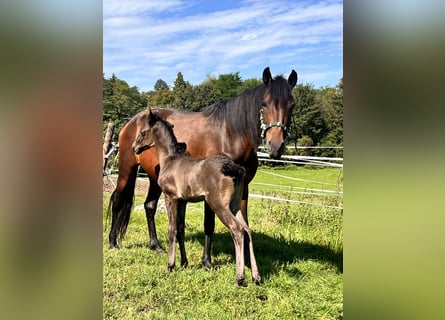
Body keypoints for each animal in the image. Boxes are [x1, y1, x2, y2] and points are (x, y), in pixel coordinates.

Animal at [134, 107, 262, 284]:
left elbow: (172, 229)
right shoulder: (182, 201)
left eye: (143, 132)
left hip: (219, 205)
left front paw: (170, 265)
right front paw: (183, 263)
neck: (170, 160)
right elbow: (180, 228)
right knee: (247, 230)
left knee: (237, 229)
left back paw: (240, 277)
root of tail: (234, 167)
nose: (134, 148)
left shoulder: (170, 197)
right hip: (235, 205)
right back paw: (256, 277)